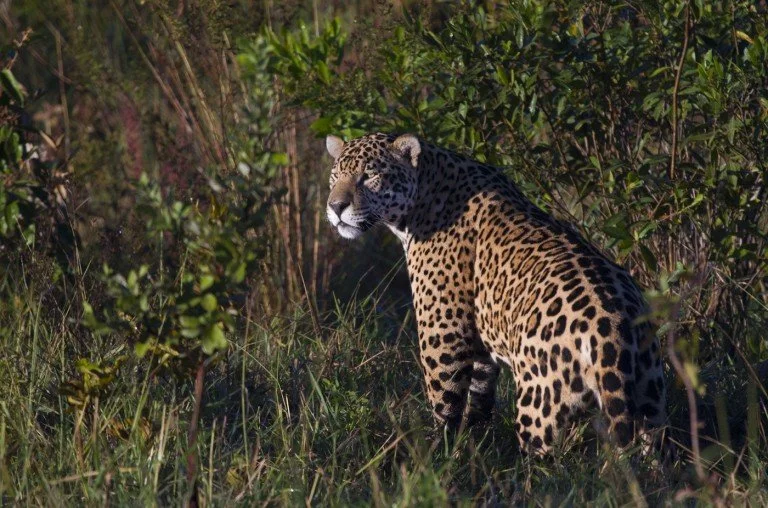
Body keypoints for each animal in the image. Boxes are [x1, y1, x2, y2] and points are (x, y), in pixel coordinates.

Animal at [324, 132, 667, 453]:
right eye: (335, 175)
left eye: (368, 176)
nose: (335, 207)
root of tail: (613, 330)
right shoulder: (479, 345)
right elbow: (479, 396)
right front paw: (474, 444)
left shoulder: (444, 335)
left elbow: (444, 404)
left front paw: (439, 454)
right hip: (650, 395)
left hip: (539, 402)